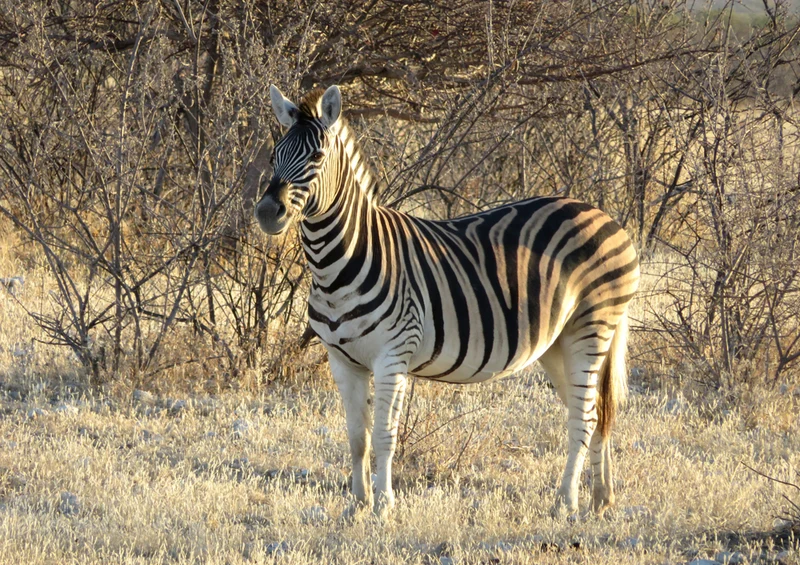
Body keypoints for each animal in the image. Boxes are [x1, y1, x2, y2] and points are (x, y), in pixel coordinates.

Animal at [255, 84, 640, 520]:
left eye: (317, 157)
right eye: (274, 154)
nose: (267, 212)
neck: (338, 263)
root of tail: (604, 215)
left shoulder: (393, 356)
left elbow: (384, 435)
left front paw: (383, 507)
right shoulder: (342, 361)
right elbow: (357, 437)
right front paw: (357, 506)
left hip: (590, 328)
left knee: (585, 417)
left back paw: (565, 502)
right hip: (558, 343)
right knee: (591, 410)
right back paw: (601, 499)